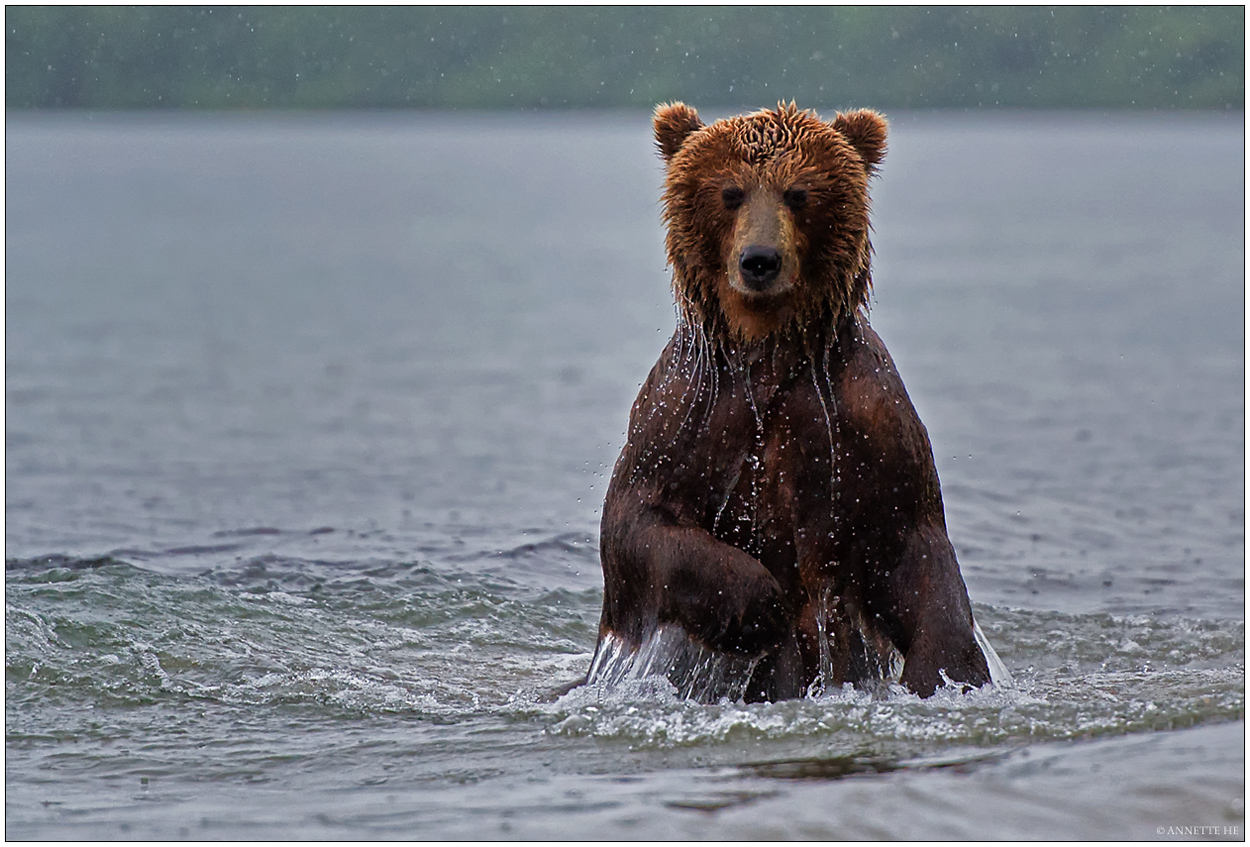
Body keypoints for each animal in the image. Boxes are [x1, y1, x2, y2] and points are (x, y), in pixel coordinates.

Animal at [590, 103, 990, 704]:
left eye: (798, 192)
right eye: (730, 191)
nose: (760, 260)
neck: (770, 350)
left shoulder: (860, 416)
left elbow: (910, 547)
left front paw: (947, 672)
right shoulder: (687, 413)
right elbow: (636, 524)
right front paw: (762, 602)